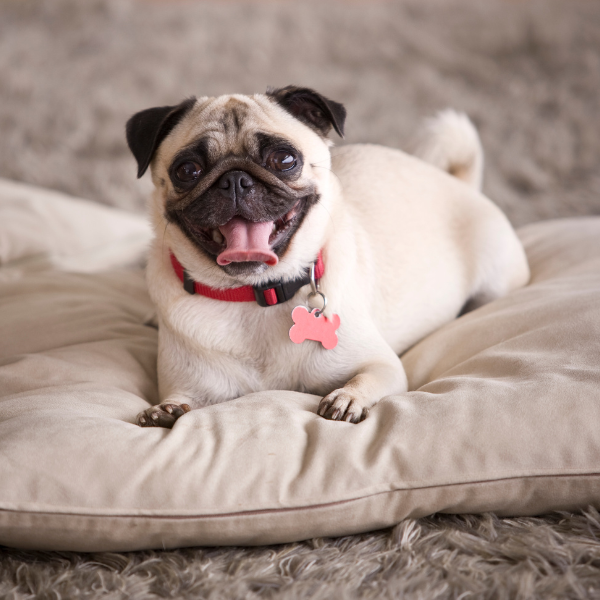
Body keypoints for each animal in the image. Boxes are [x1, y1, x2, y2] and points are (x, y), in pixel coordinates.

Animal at [126, 86, 528, 428]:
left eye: (285, 159)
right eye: (187, 170)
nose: (235, 179)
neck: (256, 294)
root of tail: (460, 183)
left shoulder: (382, 365)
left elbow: (368, 378)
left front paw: (347, 398)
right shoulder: (191, 385)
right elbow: (179, 400)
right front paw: (164, 411)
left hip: (496, 281)